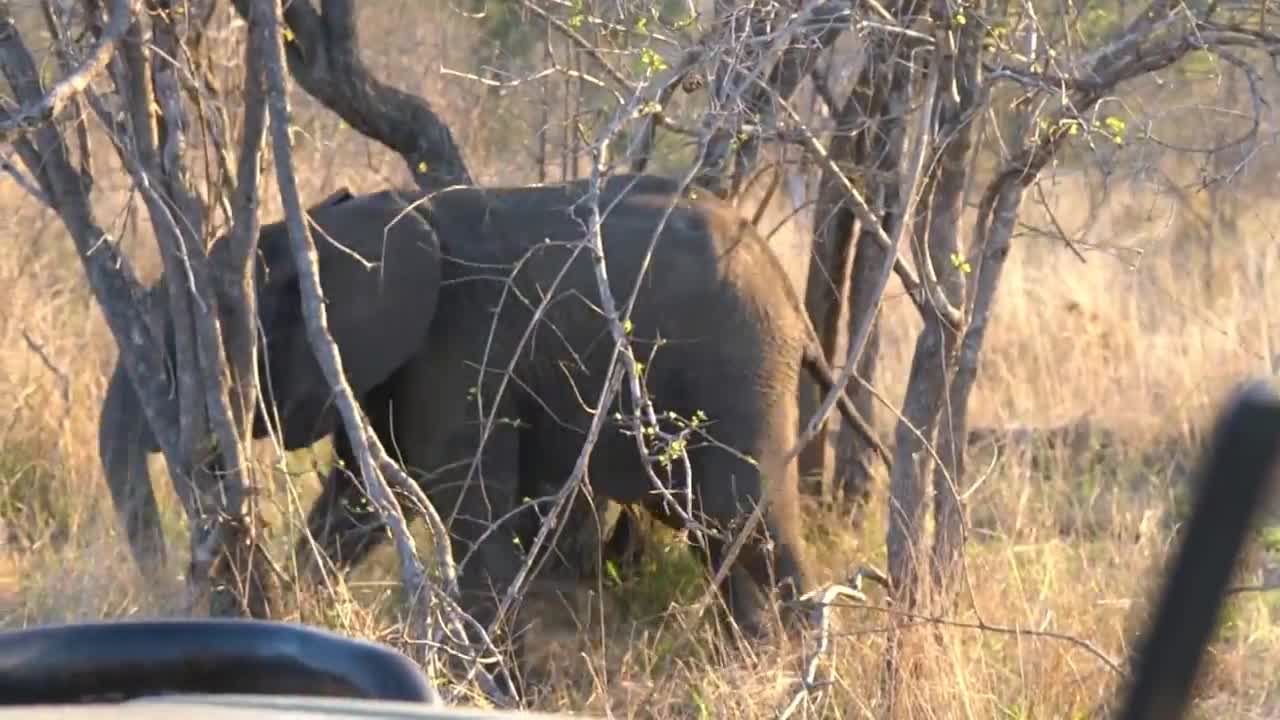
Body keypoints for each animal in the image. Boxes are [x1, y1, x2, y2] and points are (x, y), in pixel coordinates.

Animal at [299, 173, 886, 642]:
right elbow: (360, 498)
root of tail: (785, 290)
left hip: (741, 370)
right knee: (720, 533)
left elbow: (466, 508)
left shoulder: (460, 344)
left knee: (745, 517)